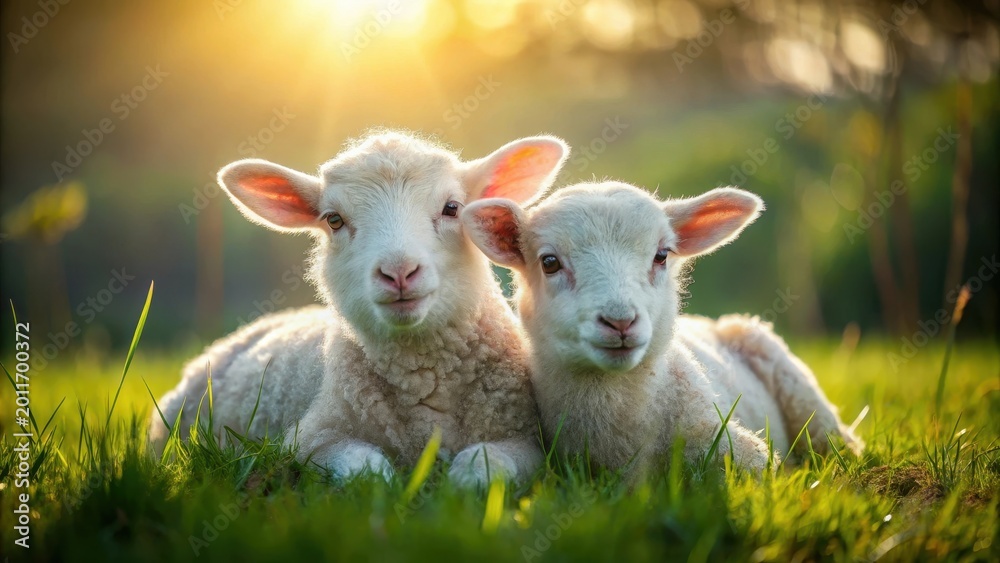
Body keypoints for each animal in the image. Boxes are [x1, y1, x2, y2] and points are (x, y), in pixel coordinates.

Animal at [150, 131, 571, 488]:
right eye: (334, 220)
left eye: (452, 208)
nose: (398, 272)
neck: (423, 379)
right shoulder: (314, 436)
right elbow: (364, 469)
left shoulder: (523, 439)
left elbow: (483, 465)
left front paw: (464, 483)